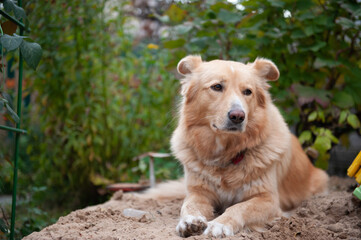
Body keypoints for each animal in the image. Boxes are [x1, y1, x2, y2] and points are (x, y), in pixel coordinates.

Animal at [167, 55, 328, 237]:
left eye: (247, 92)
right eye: (217, 87)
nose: (238, 116)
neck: (226, 154)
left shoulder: (268, 200)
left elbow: (239, 207)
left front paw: (220, 224)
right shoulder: (198, 192)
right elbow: (188, 205)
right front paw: (190, 221)